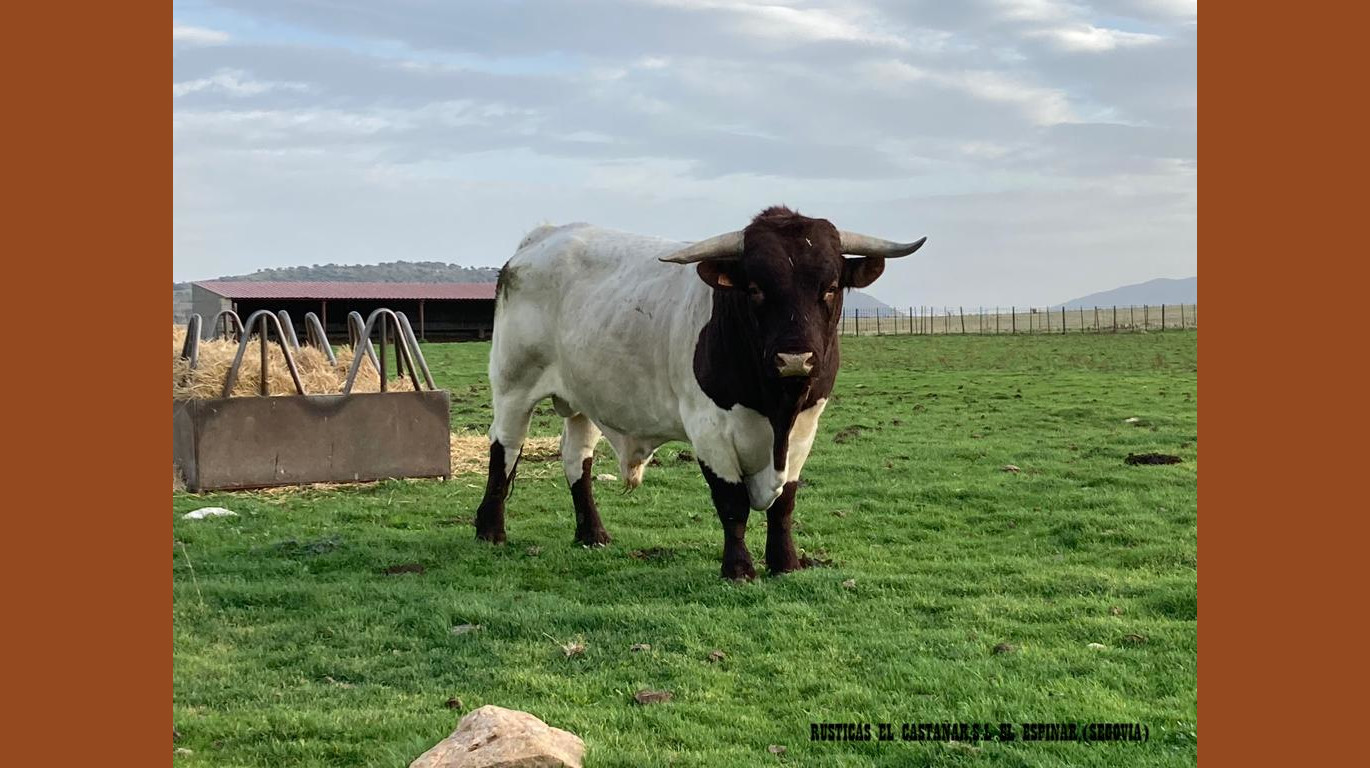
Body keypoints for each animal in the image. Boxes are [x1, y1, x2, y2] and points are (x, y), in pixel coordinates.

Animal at [476, 206, 926, 577]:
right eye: (755, 288)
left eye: (830, 287)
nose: (795, 359)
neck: (776, 408)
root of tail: (542, 237)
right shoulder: (709, 429)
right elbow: (732, 503)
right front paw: (739, 568)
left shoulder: (805, 427)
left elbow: (784, 504)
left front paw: (785, 563)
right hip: (513, 386)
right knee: (505, 448)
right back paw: (490, 530)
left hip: (584, 396)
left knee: (576, 458)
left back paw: (592, 534)